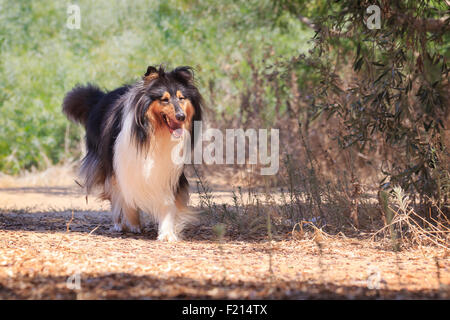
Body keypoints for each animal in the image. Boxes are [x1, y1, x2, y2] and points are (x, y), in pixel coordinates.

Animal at [62, 64, 203, 240]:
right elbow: (126, 197)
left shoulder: (168, 171)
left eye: (181, 98)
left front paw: (167, 233)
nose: (181, 116)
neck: (154, 134)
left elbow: (167, 202)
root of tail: (101, 97)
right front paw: (133, 224)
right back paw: (119, 224)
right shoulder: (122, 165)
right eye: (164, 99)